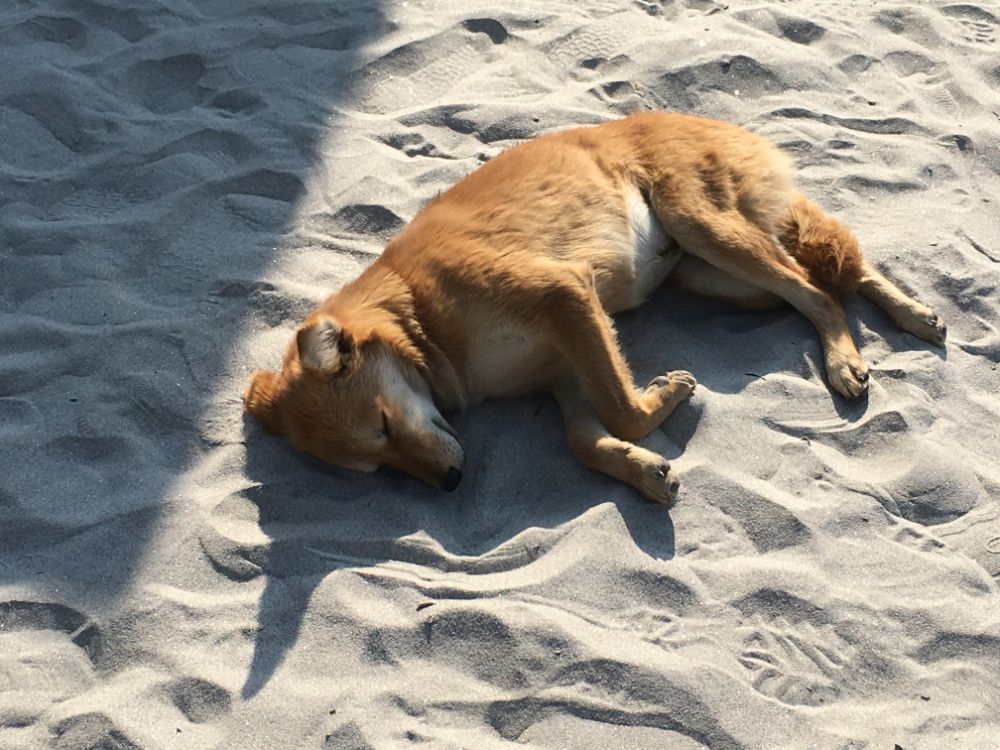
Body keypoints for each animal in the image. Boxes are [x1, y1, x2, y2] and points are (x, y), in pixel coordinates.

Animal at [244, 113, 944, 506]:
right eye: (378, 468)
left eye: (385, 427)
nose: (448, 486)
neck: (419, 316)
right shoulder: (561, 365)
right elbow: (587, 438)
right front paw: (641, 470)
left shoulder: (565, 297)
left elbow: (620, 409)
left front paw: (665, 398)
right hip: (714, 276)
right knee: (829, 274)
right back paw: (911, 314)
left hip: (701, 225)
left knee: (819, 289)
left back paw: (847, 359)